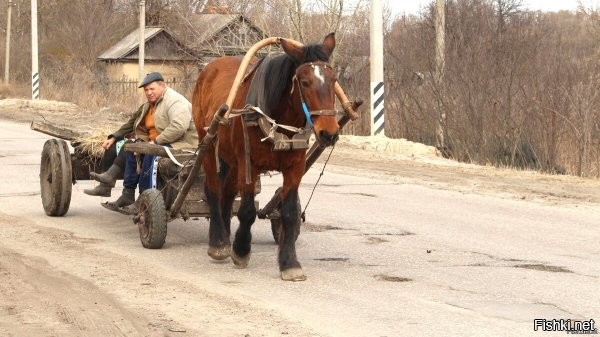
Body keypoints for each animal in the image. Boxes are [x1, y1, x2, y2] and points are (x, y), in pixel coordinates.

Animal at [193, 33, 340, 280]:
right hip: (208, 142)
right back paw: (219, 242)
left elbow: (289, 214)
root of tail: (210, 67)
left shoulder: (295, 167)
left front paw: (289, 263)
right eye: (304, 82)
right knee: (213, 190)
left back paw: (225, 234)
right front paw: (241, 250)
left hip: (231, 158)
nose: (328, 133)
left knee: (227, 193)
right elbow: (247, 211)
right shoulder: (248, 163)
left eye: (333, 79)